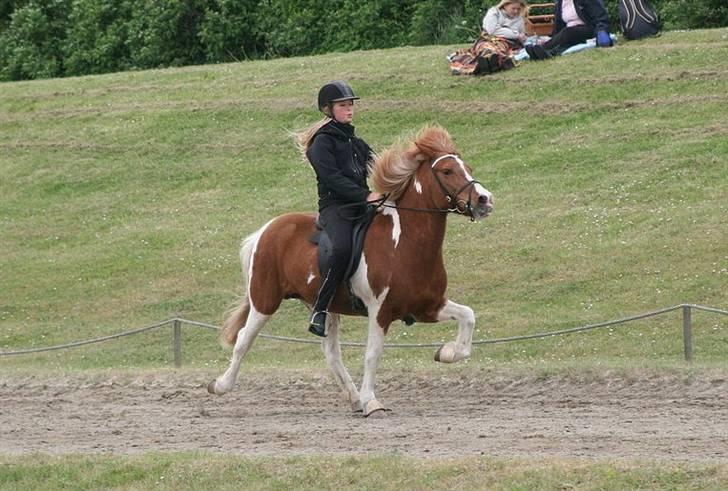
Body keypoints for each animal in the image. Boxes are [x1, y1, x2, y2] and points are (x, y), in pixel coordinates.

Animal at [208, 126, 498, 416]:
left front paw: (446, 352)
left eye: (467, 168)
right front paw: (372, 401)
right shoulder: (380, 311)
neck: (405, 244)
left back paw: (354, 398)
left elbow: (468, 317)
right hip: (265, 299)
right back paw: (220, 385)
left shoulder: (427, 306)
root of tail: (266, 230)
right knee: (244, 339)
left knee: (331, 353)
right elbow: (372, 354)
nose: (484, 200)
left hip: (322, 307)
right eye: (447, 171)